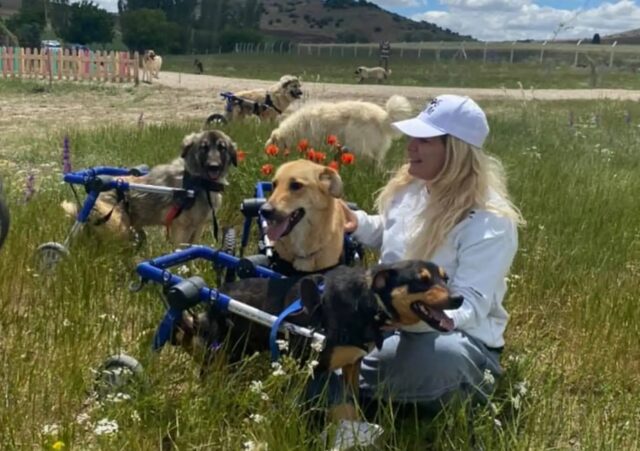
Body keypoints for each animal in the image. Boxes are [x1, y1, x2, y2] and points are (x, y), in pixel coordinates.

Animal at [62, 129, 238, 245]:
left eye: (221, 147)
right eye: (204, 147)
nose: (214, 166)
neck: (199, 183)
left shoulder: (198, 227)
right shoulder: (181, 228)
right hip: (118, 225)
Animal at [171, 262, 460, 420]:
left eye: (445, 278)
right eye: (421, 281)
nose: (458, 299)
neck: (367, 301)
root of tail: (216, 293)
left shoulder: (352, 365)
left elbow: (353, 400)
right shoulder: (306, 368)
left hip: (237, 351)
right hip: (218, 353)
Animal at [266, 95, 412, 164]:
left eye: (271, 147)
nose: (267, 158)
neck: (296, 128)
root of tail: (383, 117)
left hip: (358, 145)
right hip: (375, 150)